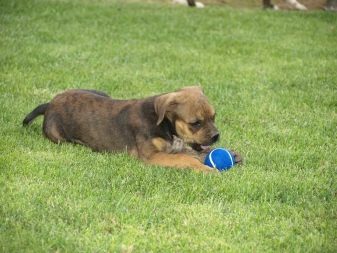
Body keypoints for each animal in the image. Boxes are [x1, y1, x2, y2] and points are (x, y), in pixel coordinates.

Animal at [22, 86, 240, 172]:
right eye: (195, 123)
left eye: (214, 117)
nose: (216, 136)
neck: (165, 125)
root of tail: (49, 104)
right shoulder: (151, 157)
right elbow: (184, 158)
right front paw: (205, 168)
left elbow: (190, 151)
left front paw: (230, 154)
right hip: (59, 137)